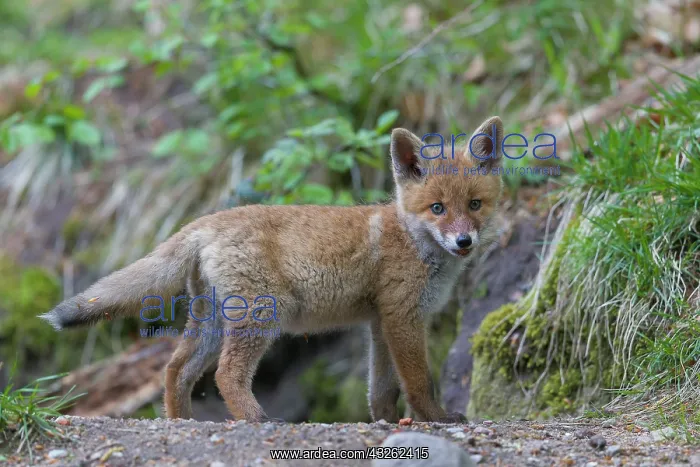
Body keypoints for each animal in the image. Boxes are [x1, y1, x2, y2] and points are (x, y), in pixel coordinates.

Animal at [40, 116, 505, 424]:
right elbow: (419, 381)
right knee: (225, 375)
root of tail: (205, 221)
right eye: (438, 209)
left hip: (212, 321)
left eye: (475, 205)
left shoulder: (380, 322)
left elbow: (382, 389)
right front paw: (436, 418)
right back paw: (257, 419)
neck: (412, 240)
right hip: (262, 315)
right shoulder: (402, 317)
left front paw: (387, 423)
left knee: (175, 370)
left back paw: (181, 420)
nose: (464, 242)